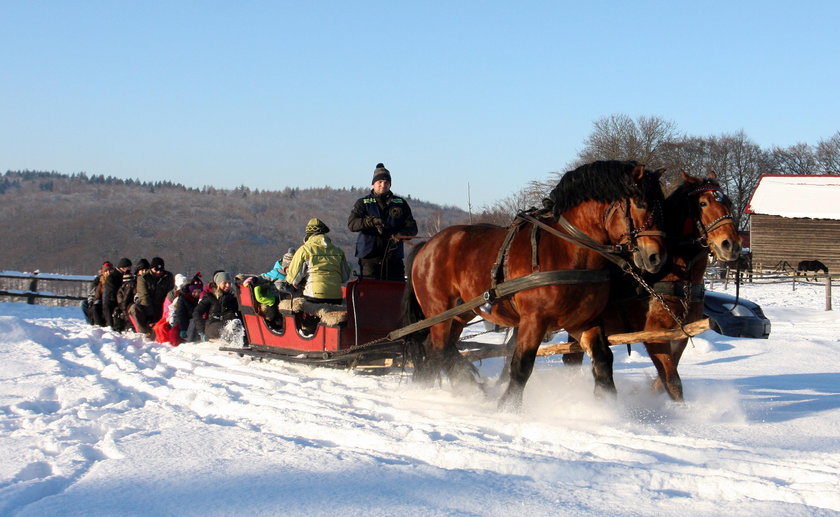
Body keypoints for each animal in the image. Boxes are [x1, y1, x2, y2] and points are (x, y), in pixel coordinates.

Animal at [404, 159, 668, 410]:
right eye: (641, 203)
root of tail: (427, 245)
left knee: (439, 348)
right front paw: (508, 407)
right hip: (439, 312)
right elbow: (522, 365)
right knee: (439, 349)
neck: (567, 248)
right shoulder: (534, 320)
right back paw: (465, 387)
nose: (656, 257)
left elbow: (603, 359)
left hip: (460, 313)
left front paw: (607, 406)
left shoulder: (582, 321)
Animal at [564, 169, 740, 400]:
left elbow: (662, 381)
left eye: (728, 201)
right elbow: (673, 382)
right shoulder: (655, 336)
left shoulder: (679, 336)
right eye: (703, 203)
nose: (731, 245)